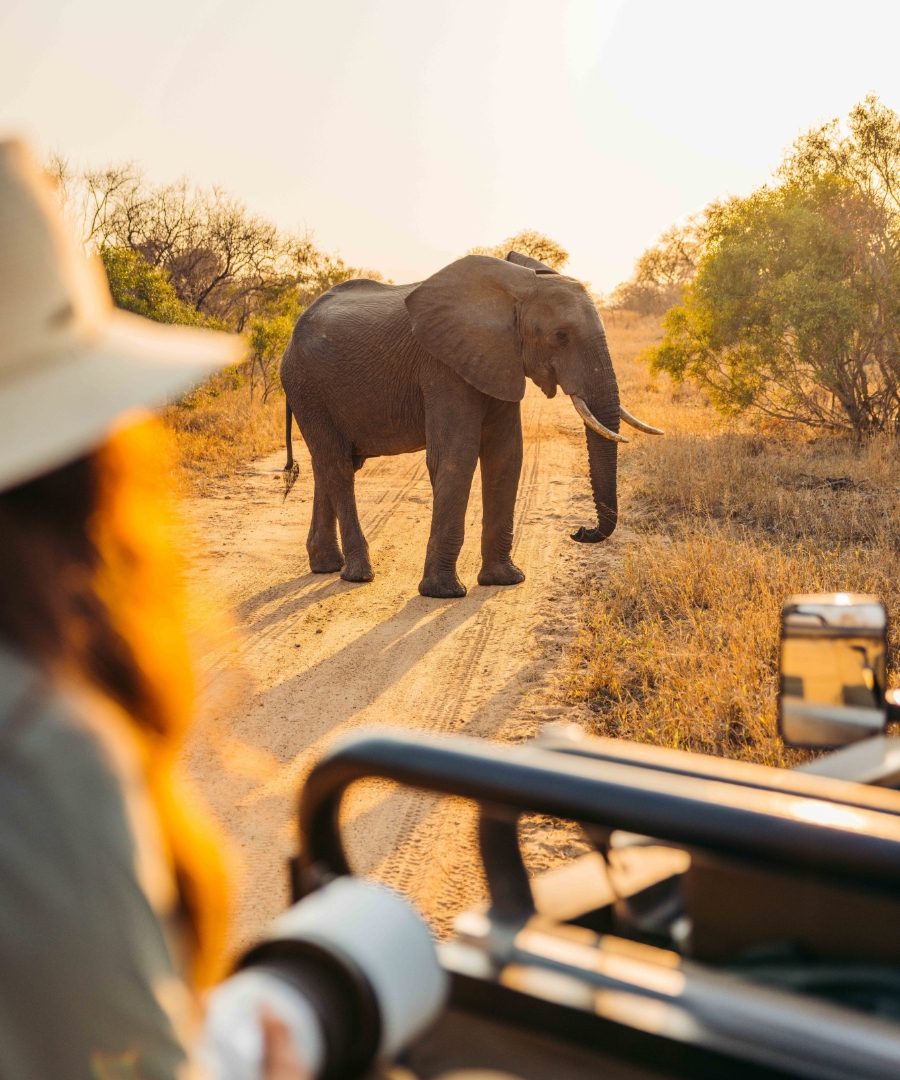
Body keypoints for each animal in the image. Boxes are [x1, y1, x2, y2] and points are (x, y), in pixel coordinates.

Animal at [280, 251, 662, 599]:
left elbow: (506, 454)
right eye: (561, 336)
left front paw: (505, 580)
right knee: (338, 465)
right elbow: (456, 457)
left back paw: (326, 566)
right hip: (306, 386)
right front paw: (444, 592)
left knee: (330, 464)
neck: (516, 288)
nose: (580, 531)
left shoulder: (499, 359)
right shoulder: (442, 366)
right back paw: (358, 574)